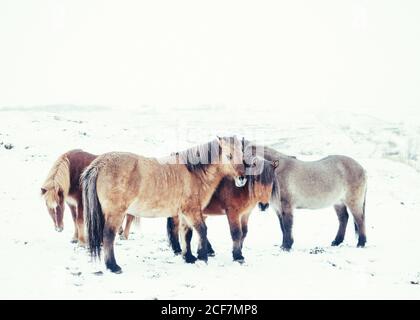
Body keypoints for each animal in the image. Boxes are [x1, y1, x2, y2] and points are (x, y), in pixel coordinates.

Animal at [80, 135, 248, 272]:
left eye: (242, 155)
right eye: (229, 155)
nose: (242, 178)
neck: (193, 173)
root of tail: (99, 164)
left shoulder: (183, 213)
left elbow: (186, 234)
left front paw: (189, 257)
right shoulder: (192, 210)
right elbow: (202, 230)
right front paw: (202, 256)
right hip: (115, 213)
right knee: (108, 236)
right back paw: (113, 266)